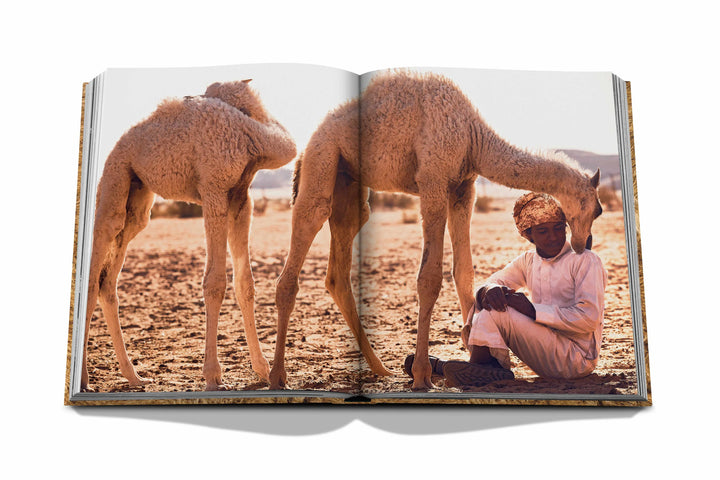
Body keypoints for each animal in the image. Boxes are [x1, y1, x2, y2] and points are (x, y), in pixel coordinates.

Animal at [81, 80, 296, 392]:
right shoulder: (214, 188)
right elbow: (215, 282)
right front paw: (213, 375)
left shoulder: (241, 197)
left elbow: (245, 283)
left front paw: (262, 368)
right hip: (115, 176)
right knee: (98, 255)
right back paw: (84, 379)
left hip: (138, 201)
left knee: (107, 280)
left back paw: (134, 375)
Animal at [271, 71, 601, 390]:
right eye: (598, 210)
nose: (585, 242)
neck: (473, 137)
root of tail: (308, 145)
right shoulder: (433, 179)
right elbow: (429, 278)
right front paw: (421, 375)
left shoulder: (463, 187)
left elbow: (464, 271)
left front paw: (471, 348)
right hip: (323, 159)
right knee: (305, 231)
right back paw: (276, 376)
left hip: (349, 183)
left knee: (339, 266)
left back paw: (380, 368)